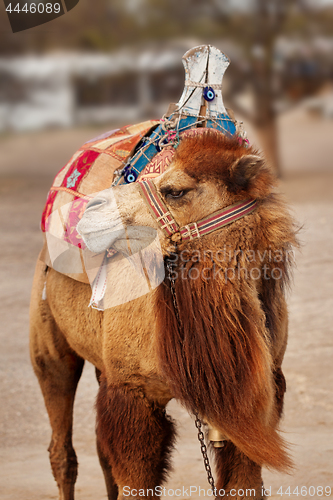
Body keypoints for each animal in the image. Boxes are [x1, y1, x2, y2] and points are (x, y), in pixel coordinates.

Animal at [29, 130, 296, 500]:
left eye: (176, 190)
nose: (92, 210)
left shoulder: (259, 393)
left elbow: (244, 484)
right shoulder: (132, 389)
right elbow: (136, 482)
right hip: (48, 343)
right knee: (62, 449)